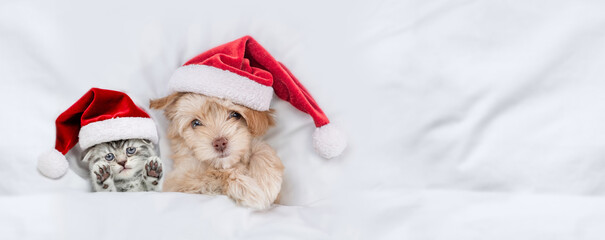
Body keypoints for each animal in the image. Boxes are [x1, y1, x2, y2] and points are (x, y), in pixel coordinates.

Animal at [150, 93, 284, 209]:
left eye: (235, 115)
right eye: (195, 123)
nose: (220, 143)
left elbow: (261, 148)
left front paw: (267, 182)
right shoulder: (181, 183)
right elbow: (216, 174)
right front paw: (248, 189)